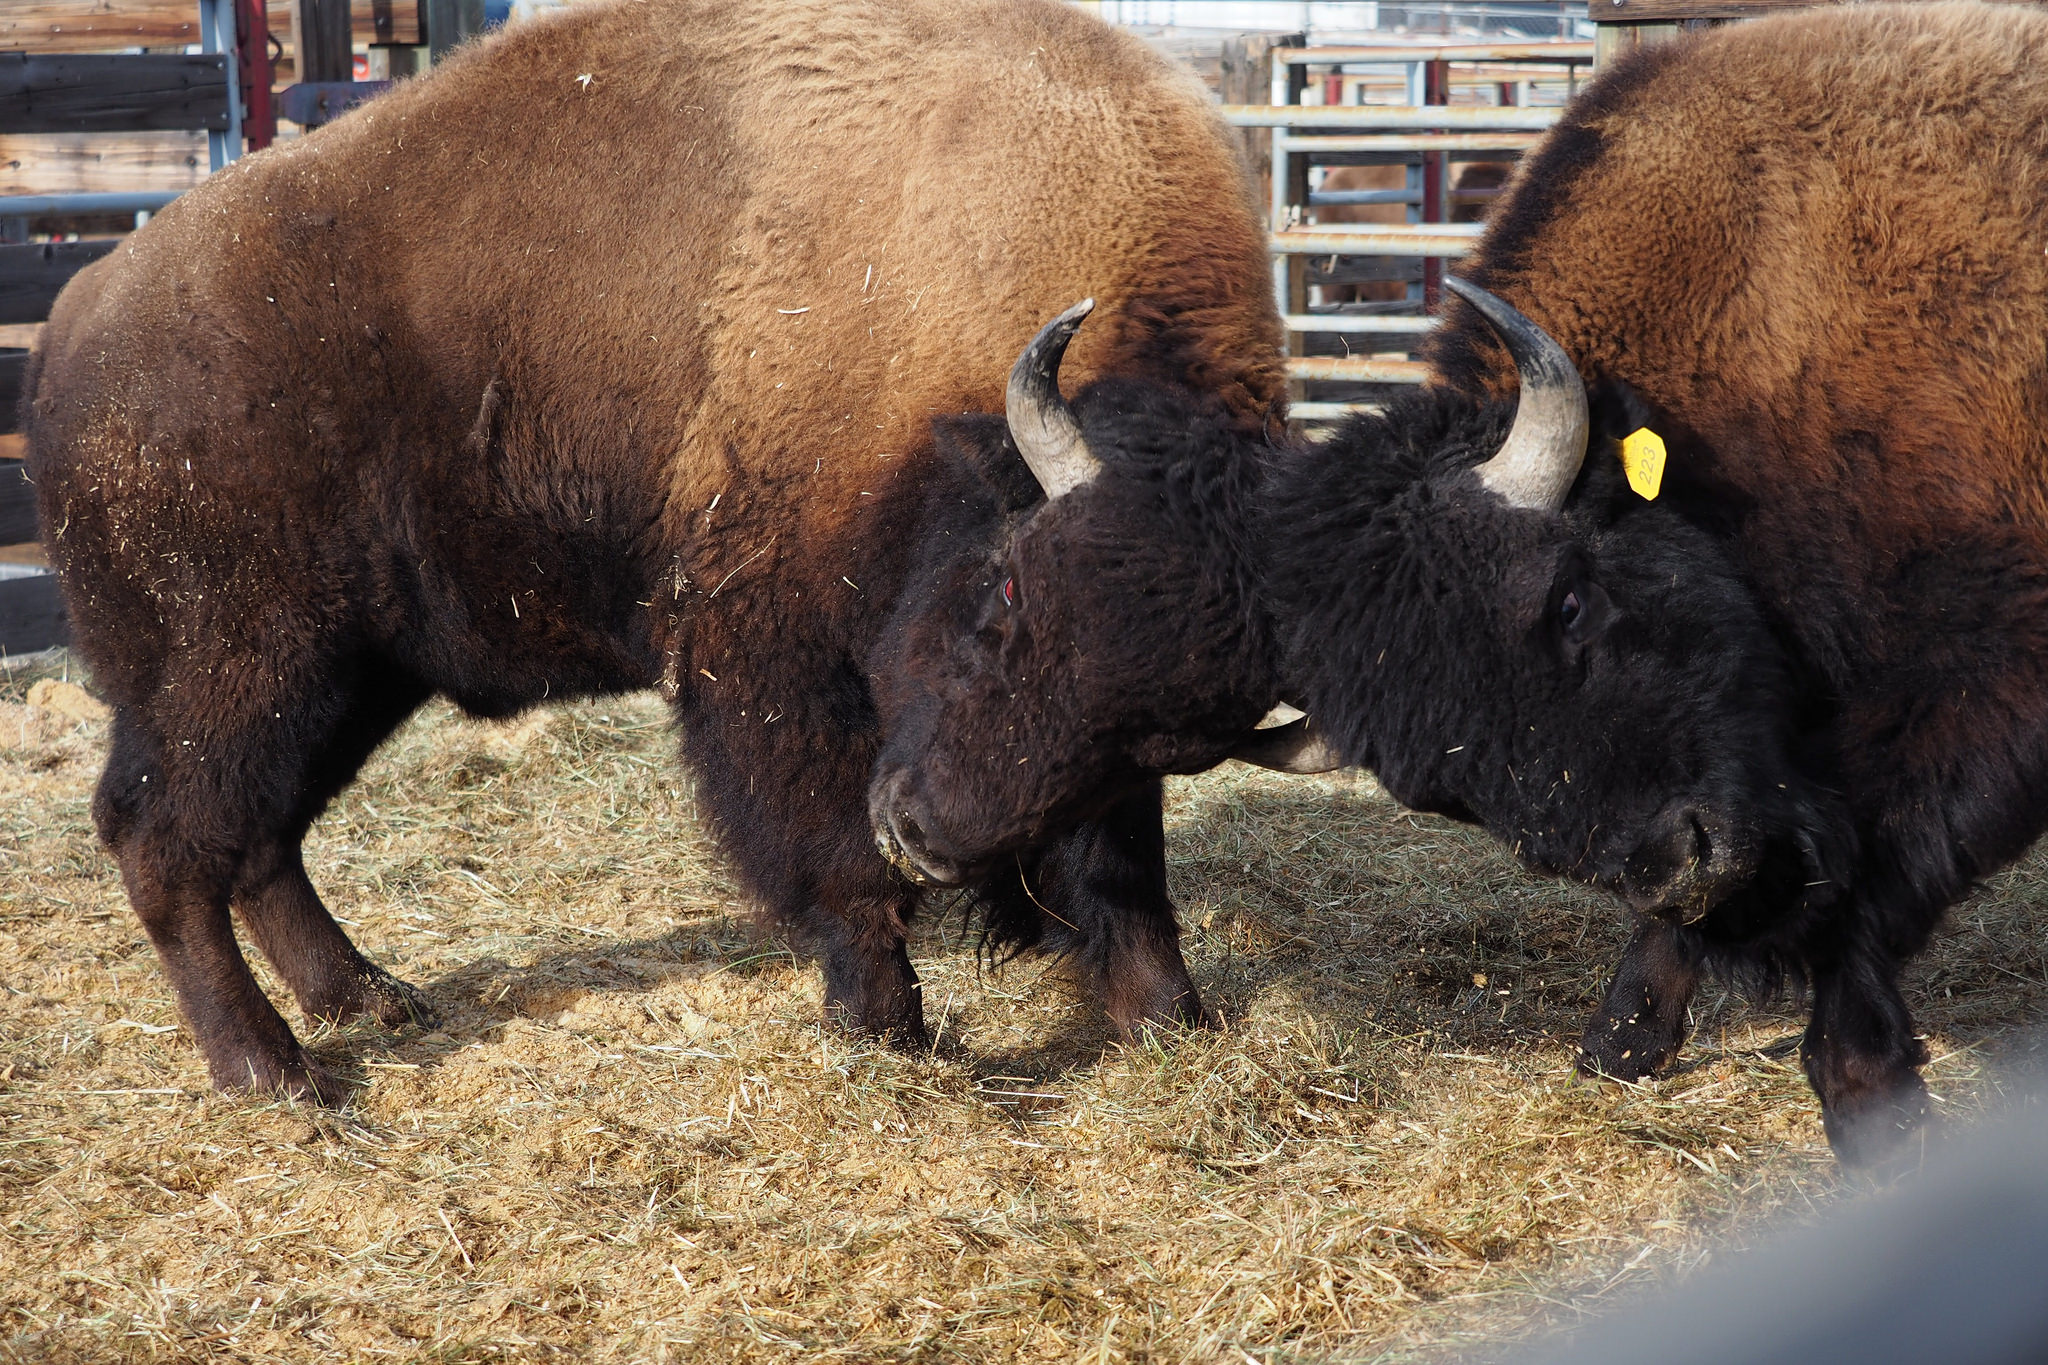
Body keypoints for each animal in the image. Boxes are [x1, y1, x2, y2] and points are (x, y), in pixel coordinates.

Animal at [19, 0, 1294, 1096]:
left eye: (1163, 742)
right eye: (1004, 601)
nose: (927, 836)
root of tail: (73, 328)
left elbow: (1123, 866)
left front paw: (1170, 1019)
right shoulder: (773, 666)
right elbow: (838, 865)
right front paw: (887, 1033)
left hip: (350, 675)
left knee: (259, 841)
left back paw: (369, 1001)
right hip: (236, 669)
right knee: (164, 839)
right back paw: (273, 1072)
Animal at [876, 2, 2048, 1178]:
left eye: (1568, 603)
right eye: (1454, 789)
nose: (1681, 865)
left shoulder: (1967, 707)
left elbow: (1867, 899)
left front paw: (1865, 1095)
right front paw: (1622, 1048)